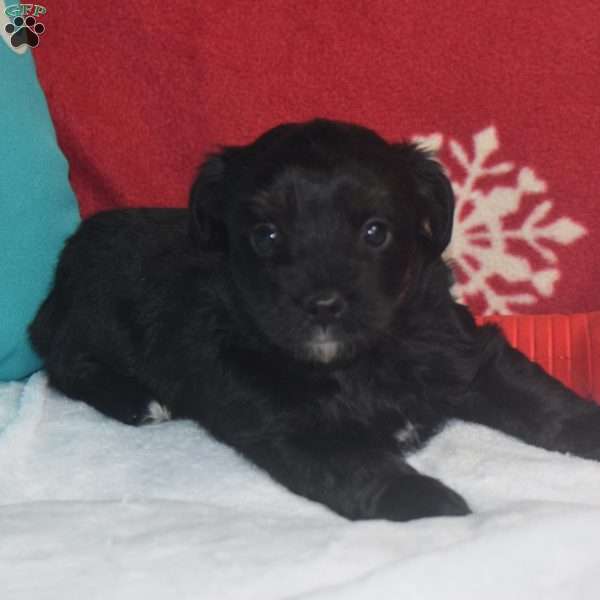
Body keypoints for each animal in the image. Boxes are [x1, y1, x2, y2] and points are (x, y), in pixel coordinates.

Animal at [29, 117, 600, 520]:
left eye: (375, 231)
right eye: (266, 235)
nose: (323, 304)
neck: (359, 361)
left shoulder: (464, 351)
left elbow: (539, 396)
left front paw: (588, 428)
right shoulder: (289, 419)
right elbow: (360, 464)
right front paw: (429, 503)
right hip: (88, 322)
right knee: (64, 365)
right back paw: (139, 401)